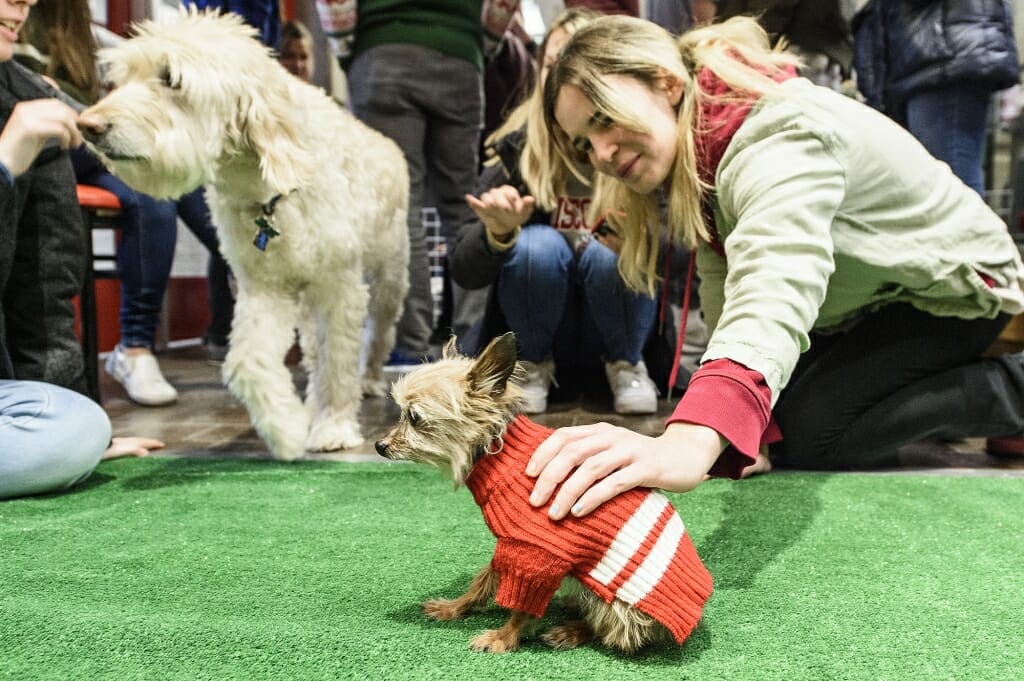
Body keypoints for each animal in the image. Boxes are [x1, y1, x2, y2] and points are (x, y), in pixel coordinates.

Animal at [77, 10, 409, 458]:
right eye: (123, 77)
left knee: (377, 335)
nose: (86, 126)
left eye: (171, 78)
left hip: (388, 278)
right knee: (313, 351)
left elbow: (339, 362)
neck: (266, 190)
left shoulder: (339, 286)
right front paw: (286, 428)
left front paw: (334, 426)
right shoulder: (265, 286)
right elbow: (247, 362)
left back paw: (369, 379)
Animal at [376, 333, 712, 655]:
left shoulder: (536, 555)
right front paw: (454, 607)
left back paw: (571, 631)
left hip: (616, 604)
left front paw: (503, 638)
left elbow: (522, 607)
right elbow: (483, 580)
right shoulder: (510, 545)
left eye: (414, 418)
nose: (379, 446)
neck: (498, 450)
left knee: (614, 630)